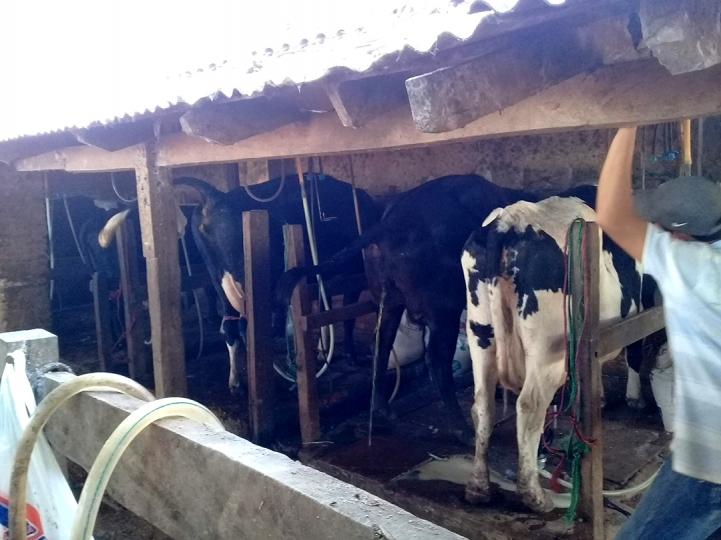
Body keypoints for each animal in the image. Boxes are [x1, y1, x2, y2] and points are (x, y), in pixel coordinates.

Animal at [276, 175, 540, 446]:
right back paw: (463, 430)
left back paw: (383, 409)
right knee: (436, 360)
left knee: (381, 346)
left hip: (389, 301)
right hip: (443, 309)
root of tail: (390, 223)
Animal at [462, 190, 660, 516]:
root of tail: (509, 222)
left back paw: (479, 488)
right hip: (546, 351)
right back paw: (535, 497)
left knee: (482, 405)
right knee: (529, 407)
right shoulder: (640, 302)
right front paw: (635, 398)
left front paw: (600, 396)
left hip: (480, 332)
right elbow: (633, 351)